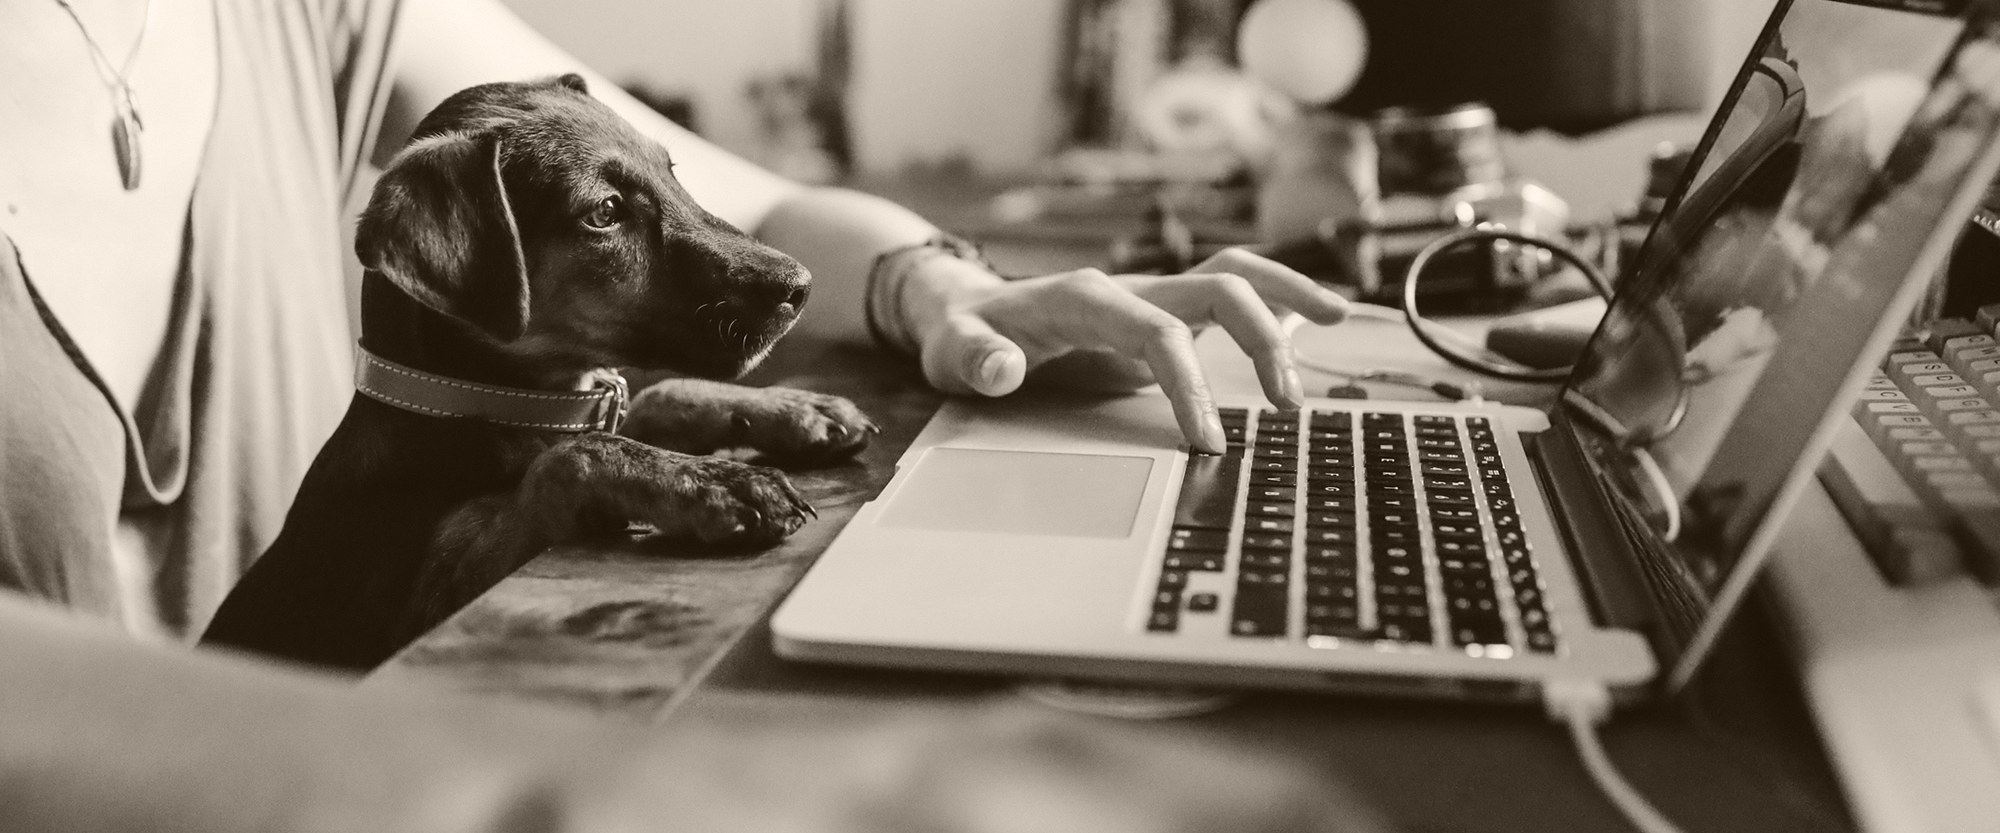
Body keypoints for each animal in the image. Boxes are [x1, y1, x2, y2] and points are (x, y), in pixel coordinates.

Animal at [201, 76, 876, 668]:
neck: (492, 404)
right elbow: (572, 458)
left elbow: (656, 397)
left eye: (671, 172)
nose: (801, 286)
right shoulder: (422, 601)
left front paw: (798, 409)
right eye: (605, 212)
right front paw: (715, 482)